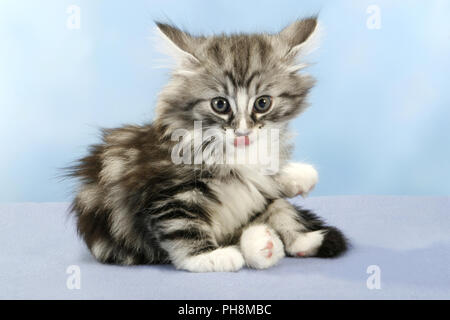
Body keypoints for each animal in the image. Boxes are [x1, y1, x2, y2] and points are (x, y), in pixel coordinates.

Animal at [67, 17, 348, 272]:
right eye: (220, 104)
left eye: (263, 103)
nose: (243, 132)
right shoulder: (168, 194)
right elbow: (182, 228)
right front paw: (208, 257)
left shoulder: (256, 184)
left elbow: (272, 191)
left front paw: (293, 176)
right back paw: (263, 244)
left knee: (280, 209)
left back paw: (297, 238)